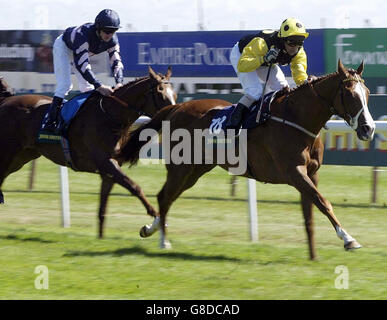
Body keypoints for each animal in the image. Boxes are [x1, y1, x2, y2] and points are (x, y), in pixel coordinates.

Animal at [0, 67, 177, 238]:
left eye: (174, 94)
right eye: (161, 93)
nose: (173, 115)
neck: (110, 115)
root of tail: (4, 101)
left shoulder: (109, 170)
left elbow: (103, 208)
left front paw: (101, 238)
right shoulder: (106, 162)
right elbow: (135, 187)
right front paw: (156, 221)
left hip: (21, 157)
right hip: (8, 153)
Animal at [117, 59, 376, 260]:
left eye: (368, 94)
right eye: (351, 94)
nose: (369, 129)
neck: (296, 118)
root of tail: (176, 107)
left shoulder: (312, 173)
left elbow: (311, 211)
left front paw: (313, 255)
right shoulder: (294, 172)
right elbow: (323, 202)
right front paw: (348, 239)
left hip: (196, 169)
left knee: (169, 197)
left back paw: (151, 229)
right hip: (180, 166)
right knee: (164, 196)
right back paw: (163, 241)